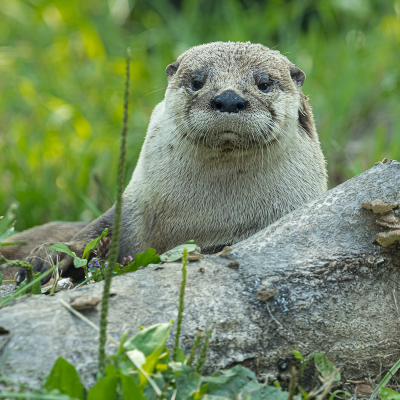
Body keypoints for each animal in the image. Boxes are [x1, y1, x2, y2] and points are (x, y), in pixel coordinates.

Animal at [7, 40, 326, 284]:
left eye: (264, 83)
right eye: (197, 81)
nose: (229, 98)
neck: (200, 216)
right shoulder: (132, 206)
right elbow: (94, 232)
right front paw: (44, 258)